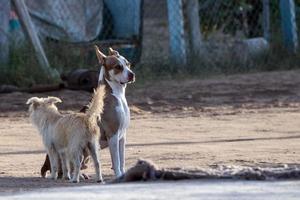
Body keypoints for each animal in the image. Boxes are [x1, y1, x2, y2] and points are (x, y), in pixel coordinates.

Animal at [95, 45, 135, 177]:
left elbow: (121, 160)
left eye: (128, 64)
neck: (117, 94)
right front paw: (118, 176)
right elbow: (116, 161)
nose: (132, 75)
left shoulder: (122, 136)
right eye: (118, 67)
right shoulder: (113, 135)